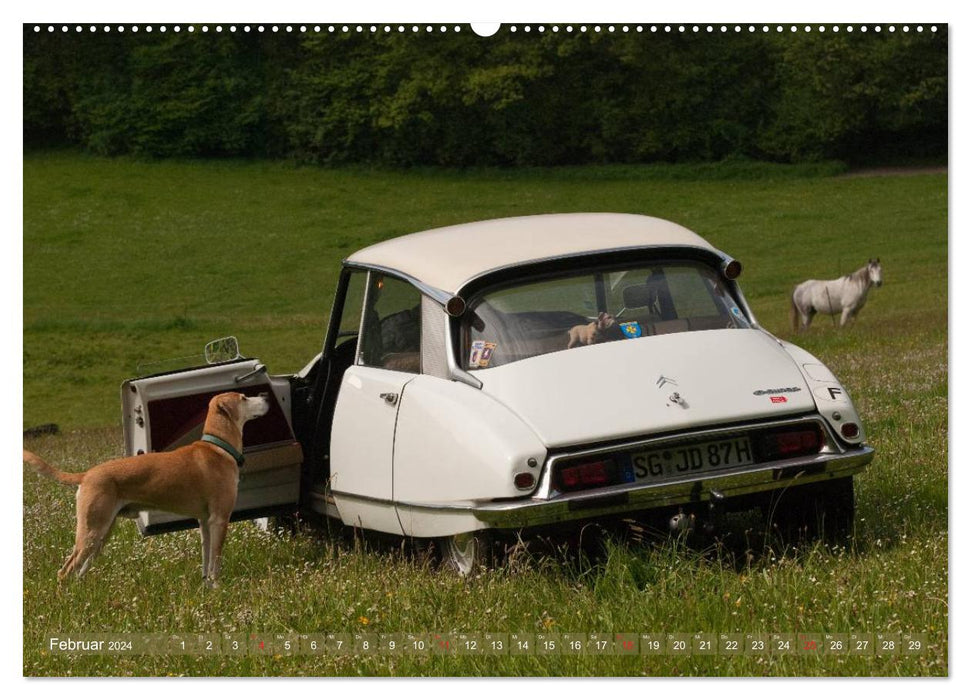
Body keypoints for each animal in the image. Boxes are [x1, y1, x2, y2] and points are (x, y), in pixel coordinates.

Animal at [26, 394, 270, 584]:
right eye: (244, 398)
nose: (266, 396)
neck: (219, 447)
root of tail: (87, 474)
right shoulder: (220, 518)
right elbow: (216, 561)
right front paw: (218, 589)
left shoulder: (205, 521)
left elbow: (206, 560)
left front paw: (207, 587)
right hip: (92, 531)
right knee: (65, 570)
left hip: (102, 533)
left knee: (79, 569)